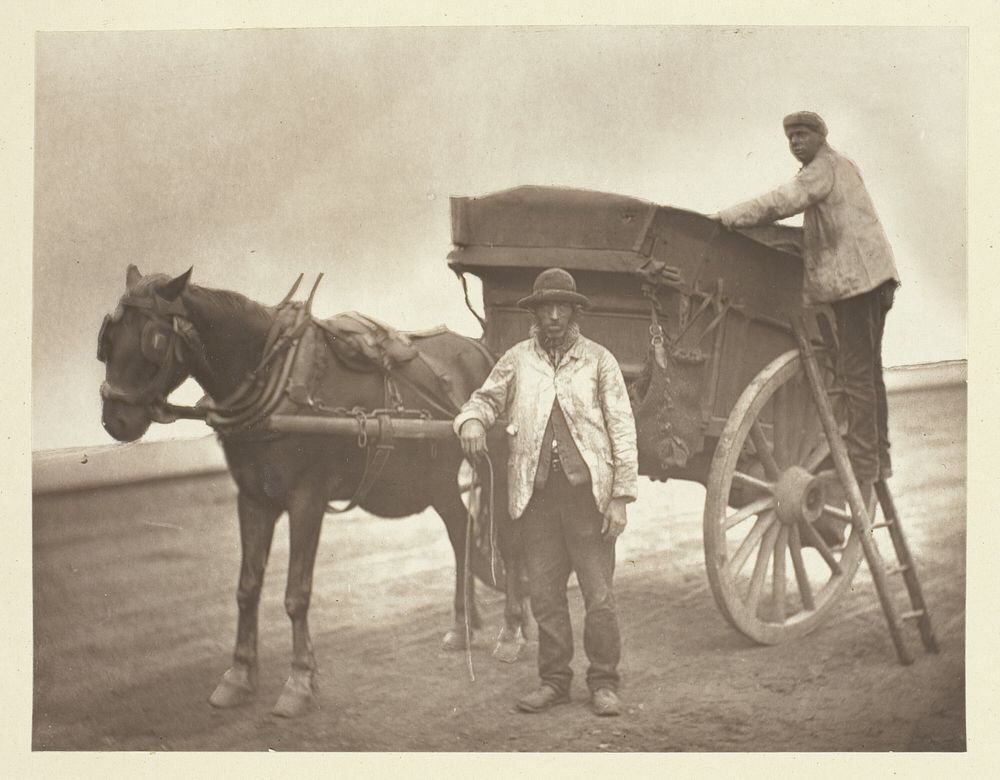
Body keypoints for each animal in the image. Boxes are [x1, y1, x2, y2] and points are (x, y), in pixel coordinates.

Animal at [96, 268, 528, 720]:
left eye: (154, 339)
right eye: (108, 340)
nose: (115, 420)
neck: (275, 376)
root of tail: (483, 349)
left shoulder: (307, 499)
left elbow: (295, 595)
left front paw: (300, 681)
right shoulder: (253, 498)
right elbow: (247, 589)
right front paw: (238, 676)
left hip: (493, 462)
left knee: (509, 540)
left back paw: (512, 629)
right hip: (436, 477)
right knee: (462, 531)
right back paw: (463, 627)